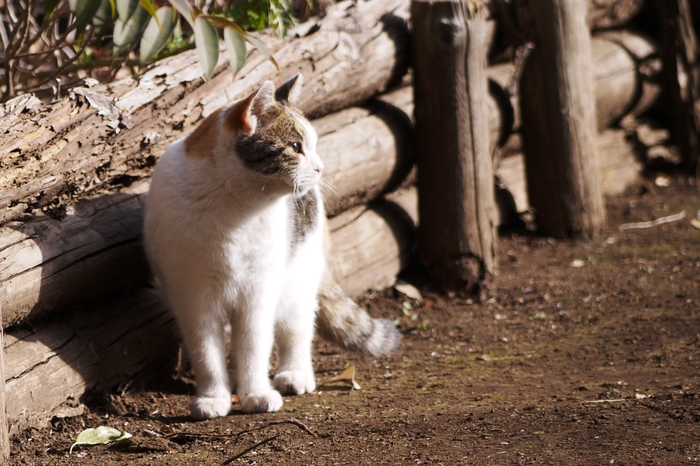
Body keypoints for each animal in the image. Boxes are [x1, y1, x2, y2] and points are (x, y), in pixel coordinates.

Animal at [144, 74, 400, 416]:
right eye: (295, 146)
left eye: (312, 145)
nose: (320, 168)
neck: (234, 208)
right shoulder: (194, 298)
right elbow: (206, 354)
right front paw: (214, 398)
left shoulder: (258, 292)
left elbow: (254, 347)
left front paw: (255, 394)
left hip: (296, 280)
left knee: (297, 330)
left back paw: (294, 375)